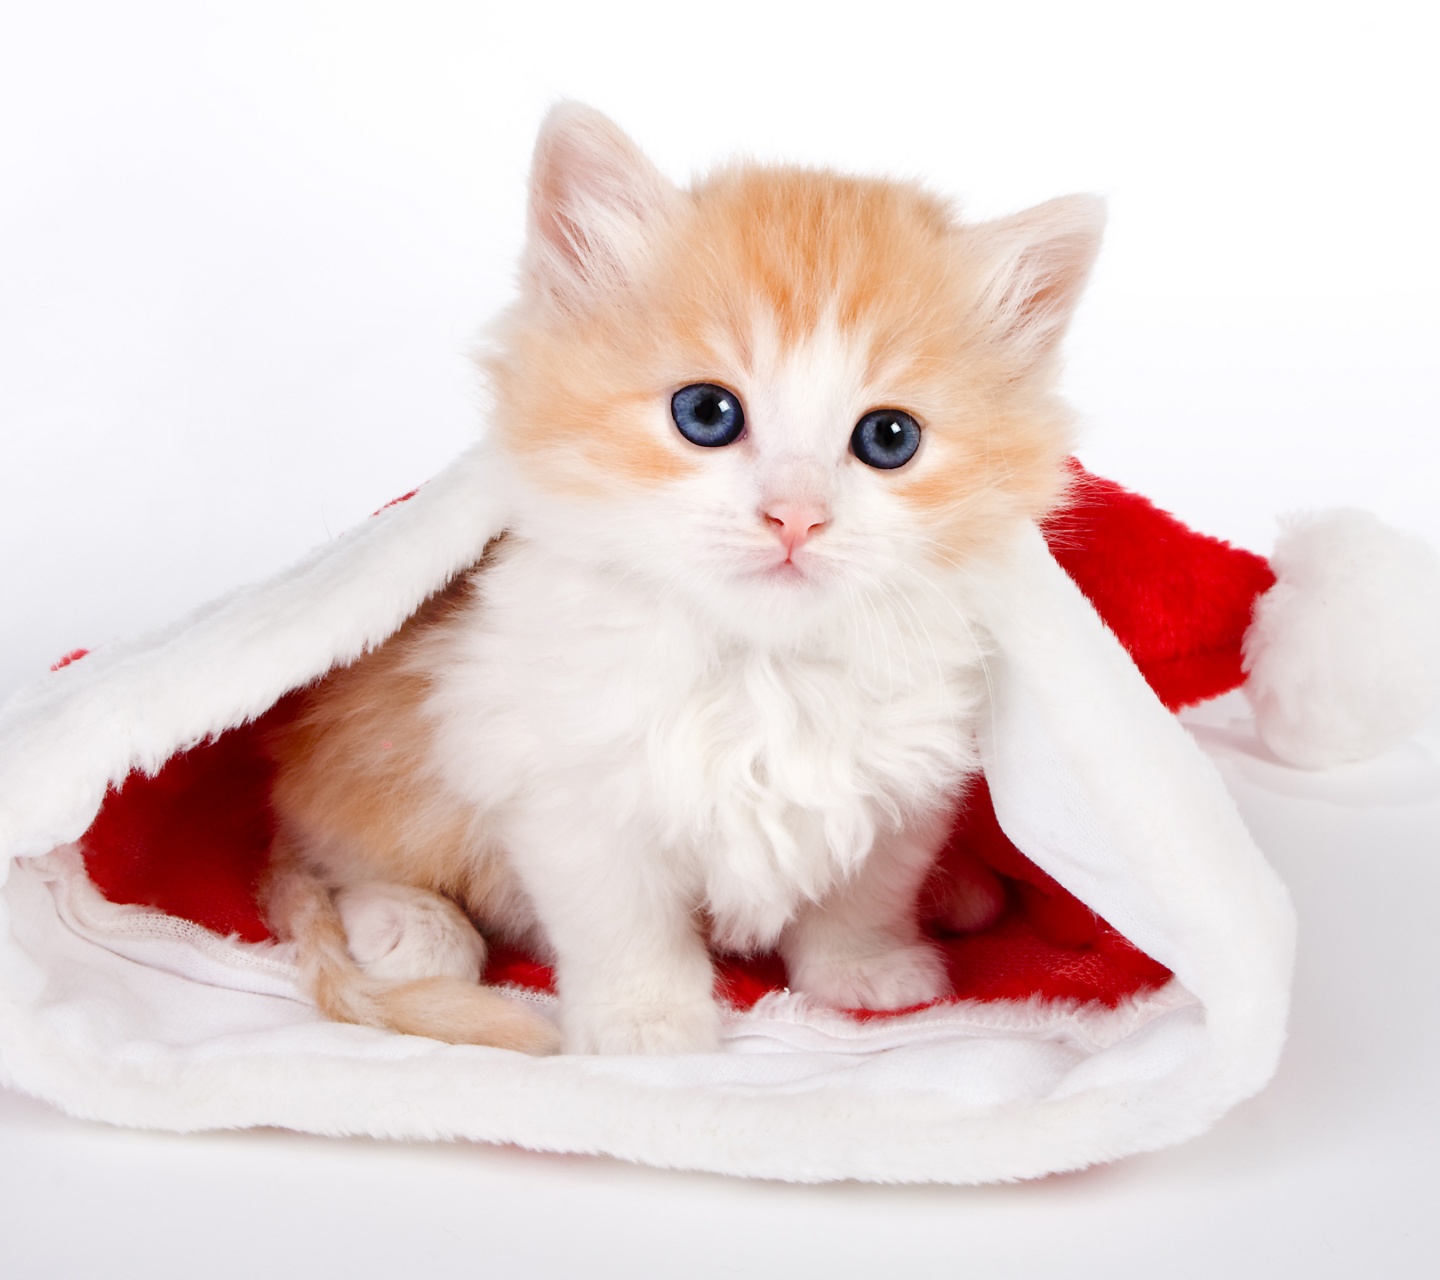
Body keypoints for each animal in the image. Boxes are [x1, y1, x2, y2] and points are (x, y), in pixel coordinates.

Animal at [264, 105, 1100, 1053]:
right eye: (706, 413)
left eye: (890, 437)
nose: (795, 517)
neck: (764, 672)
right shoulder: (559, 777)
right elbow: (622, 921)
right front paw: (646, 1022)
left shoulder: (902, 782)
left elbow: (865, 887)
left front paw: (866, 968)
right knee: (338, 856)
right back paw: (409, 926)